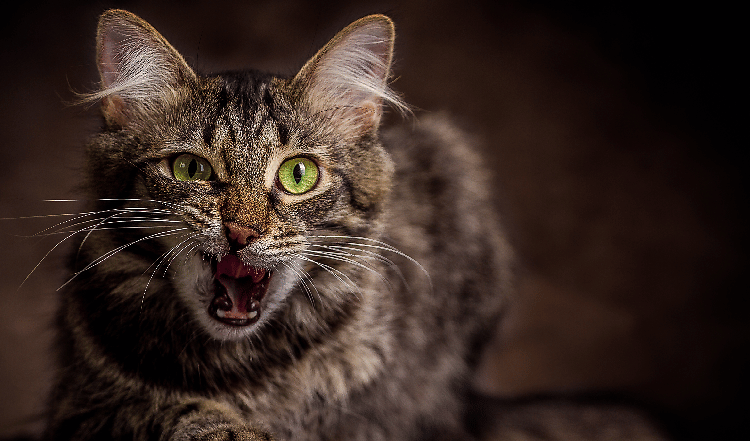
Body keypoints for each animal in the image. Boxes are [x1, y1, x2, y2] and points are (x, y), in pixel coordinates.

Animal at [38, 7, 668, 440]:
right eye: (190, 169)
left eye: (298, 175)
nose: (241, 232)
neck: (245, 370)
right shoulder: (84, 406)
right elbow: (178, 413)